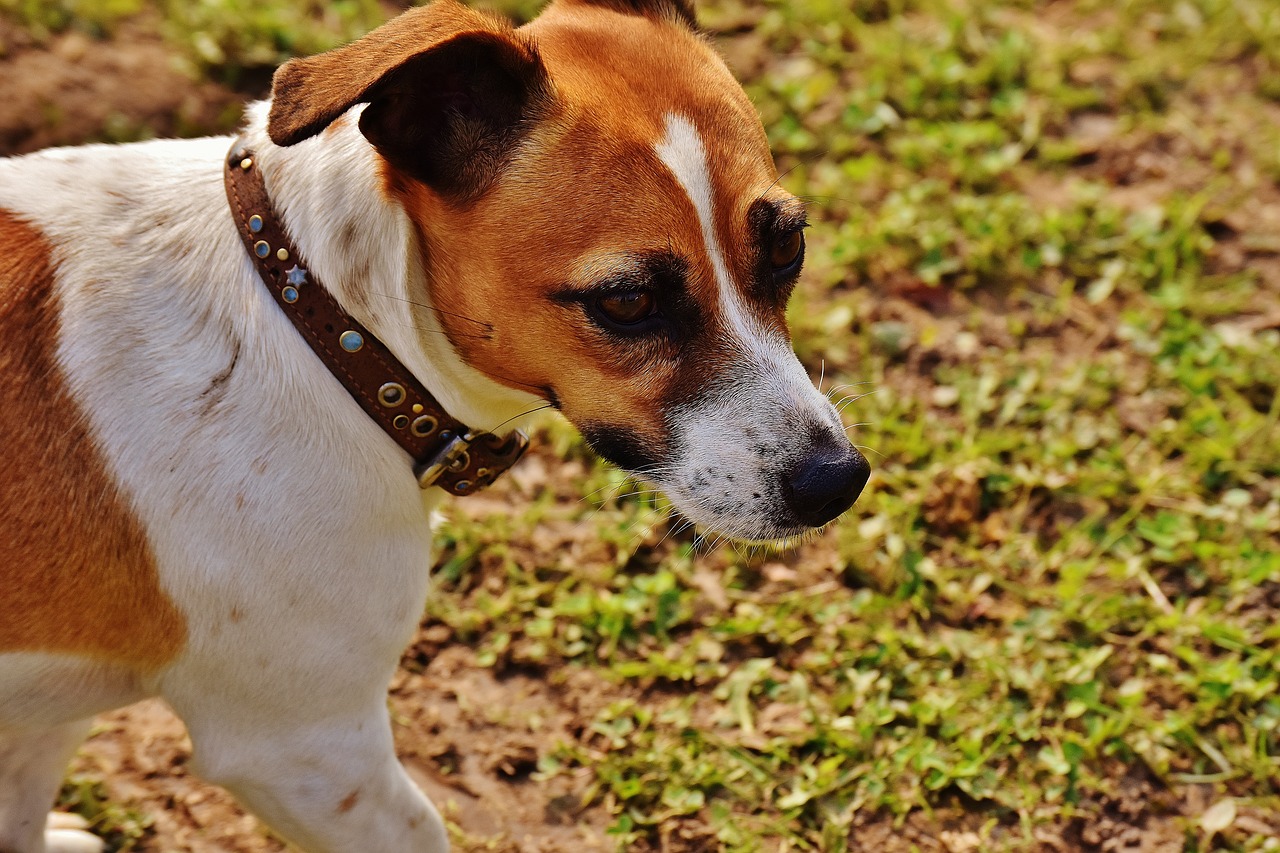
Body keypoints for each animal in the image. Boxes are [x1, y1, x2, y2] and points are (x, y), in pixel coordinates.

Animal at [0, 0, 870, 845]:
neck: (321, 319)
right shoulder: (307, 749)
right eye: (627, 301)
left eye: (788, 246)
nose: (837, 482)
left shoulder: (47, 711)